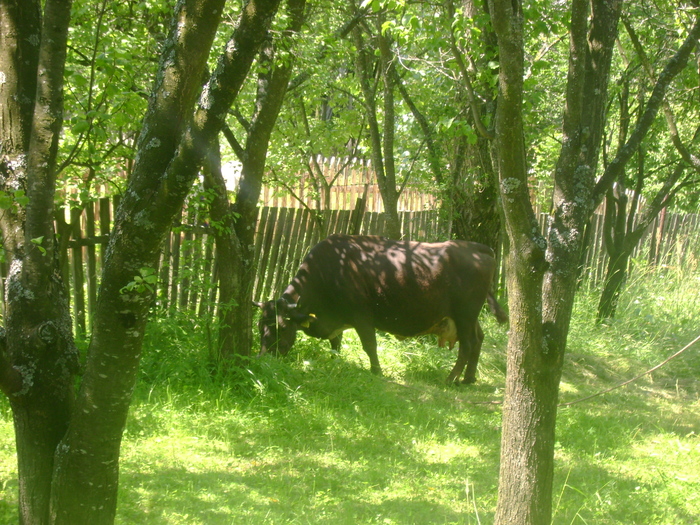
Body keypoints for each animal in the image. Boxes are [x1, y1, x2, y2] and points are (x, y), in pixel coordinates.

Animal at [254, 234, 508, 384]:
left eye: (281, 327)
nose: (263, 358)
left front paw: (376, 371)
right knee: (479, 339)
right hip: (468, 317)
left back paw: (451, 379)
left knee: (468, 345)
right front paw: (336, 362)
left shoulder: (361, 316)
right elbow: (336, 344)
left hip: (465, 314)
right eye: (259, 327)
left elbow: (369, 345)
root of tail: (479, 248)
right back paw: (468, 379)